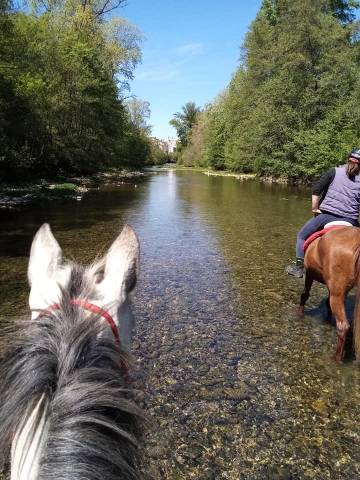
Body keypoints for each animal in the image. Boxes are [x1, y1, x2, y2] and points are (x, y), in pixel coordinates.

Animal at [300, 227, 360, 362]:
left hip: (337, 294)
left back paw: (336, 358)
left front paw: (300, 313)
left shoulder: (309, 273)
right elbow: (327, 304)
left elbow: (305, 295)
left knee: (343, 326)